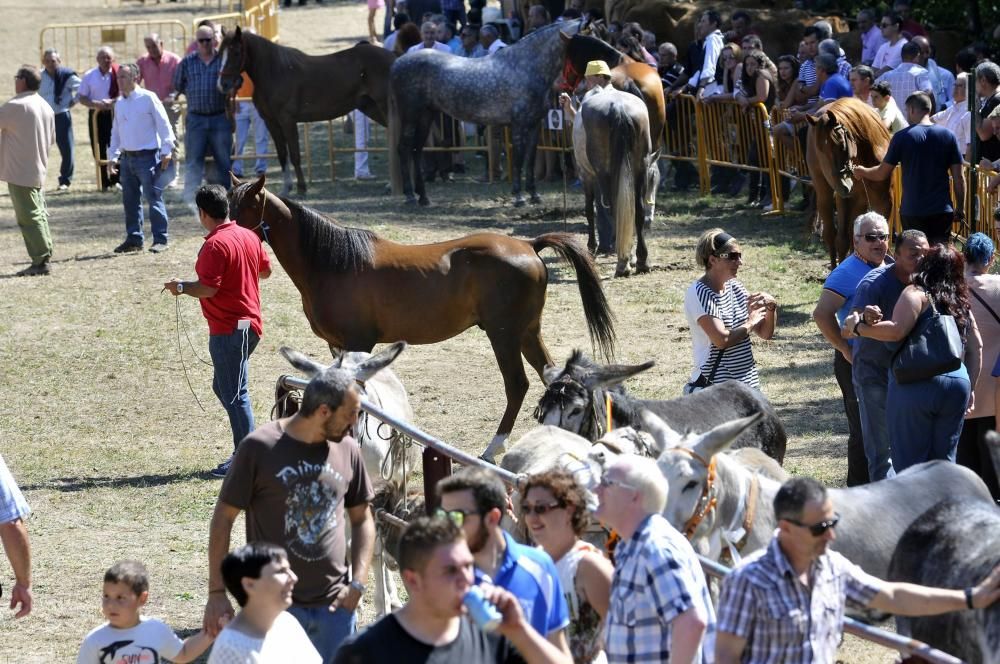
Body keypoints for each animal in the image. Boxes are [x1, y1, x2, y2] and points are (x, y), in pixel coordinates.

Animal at [218, 27, 394, 197]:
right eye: (220, 53)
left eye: (236, 52)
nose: (223, 84)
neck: (276, 72)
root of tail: (394, 57)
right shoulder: (271, 122)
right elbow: (282, 154)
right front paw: (286, 189)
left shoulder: (288, 121)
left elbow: (295, 155)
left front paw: (301, 188)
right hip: (371, 108)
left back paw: (391, 185)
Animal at [229, 176, 616, 462]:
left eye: (242, 207)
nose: (223, 232)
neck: (333, 263)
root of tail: (528, 245)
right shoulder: (335, 345)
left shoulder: (359, 341)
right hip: (527, 332)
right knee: (551, 375)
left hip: (503, 335)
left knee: (517, 385)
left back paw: (492, 448)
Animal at [388, 18, 584, 205]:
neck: (525, 67)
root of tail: (397, 63)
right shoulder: (519, 126)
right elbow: (519, 160)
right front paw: (519, 197)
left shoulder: (534, 125)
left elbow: (529, 160)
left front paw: (534, 195)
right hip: (411, 116)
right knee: (404, 148)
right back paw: (410, 196)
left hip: (425, 116)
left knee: (416, 150)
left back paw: (423, 198)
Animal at [804, 96, 892, 268]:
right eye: (820, 150)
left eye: (841, 144)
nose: (844, 186)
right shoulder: (844, 198)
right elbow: (842, 239)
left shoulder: (882, 200)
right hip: (826, 192)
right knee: (831, 234)